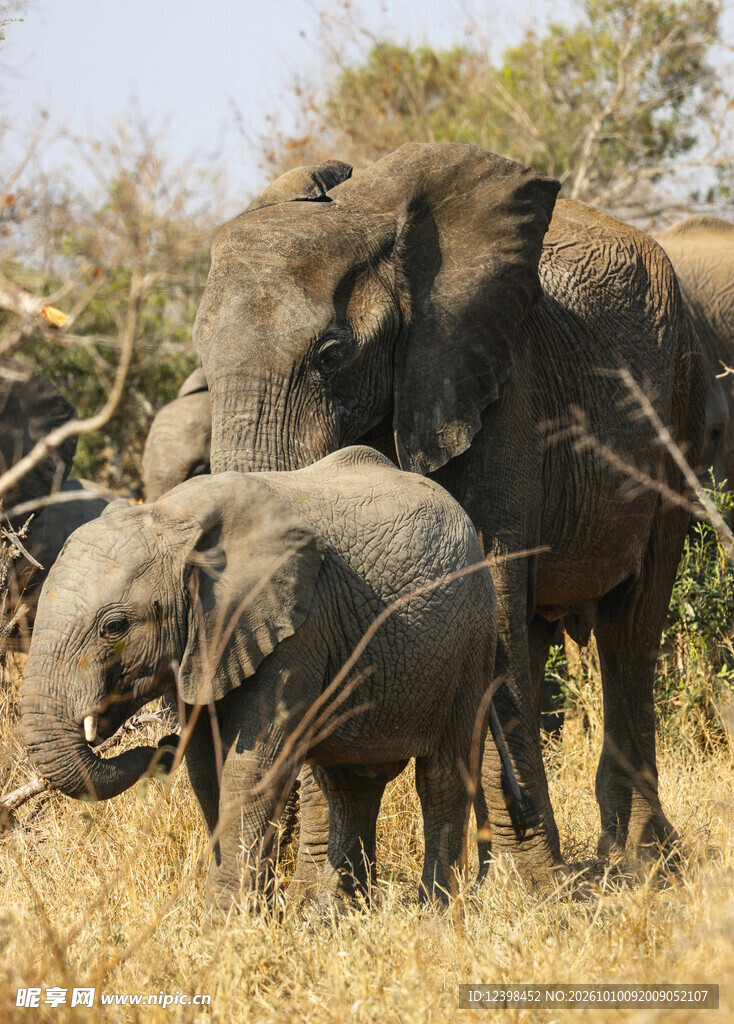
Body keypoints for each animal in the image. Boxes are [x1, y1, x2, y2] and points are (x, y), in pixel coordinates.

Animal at [21, 446, 498, 910]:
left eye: (115, 627)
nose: (162, 746)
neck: (174, 520)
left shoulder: (299, 627)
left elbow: (251, 764)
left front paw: (228, 920)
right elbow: (206, 766)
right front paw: (252, 913)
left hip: (470, 638)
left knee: (442, 777)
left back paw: (436, 914)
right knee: (350, 785)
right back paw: (336, 919)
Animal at [192, 143, 706, 879]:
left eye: (331, 353)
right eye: (200, 359)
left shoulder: (498, 385)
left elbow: (487, 579)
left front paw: (538, 891)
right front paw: (328, 890)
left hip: (681, 403)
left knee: (630, 622)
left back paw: (638, 860)